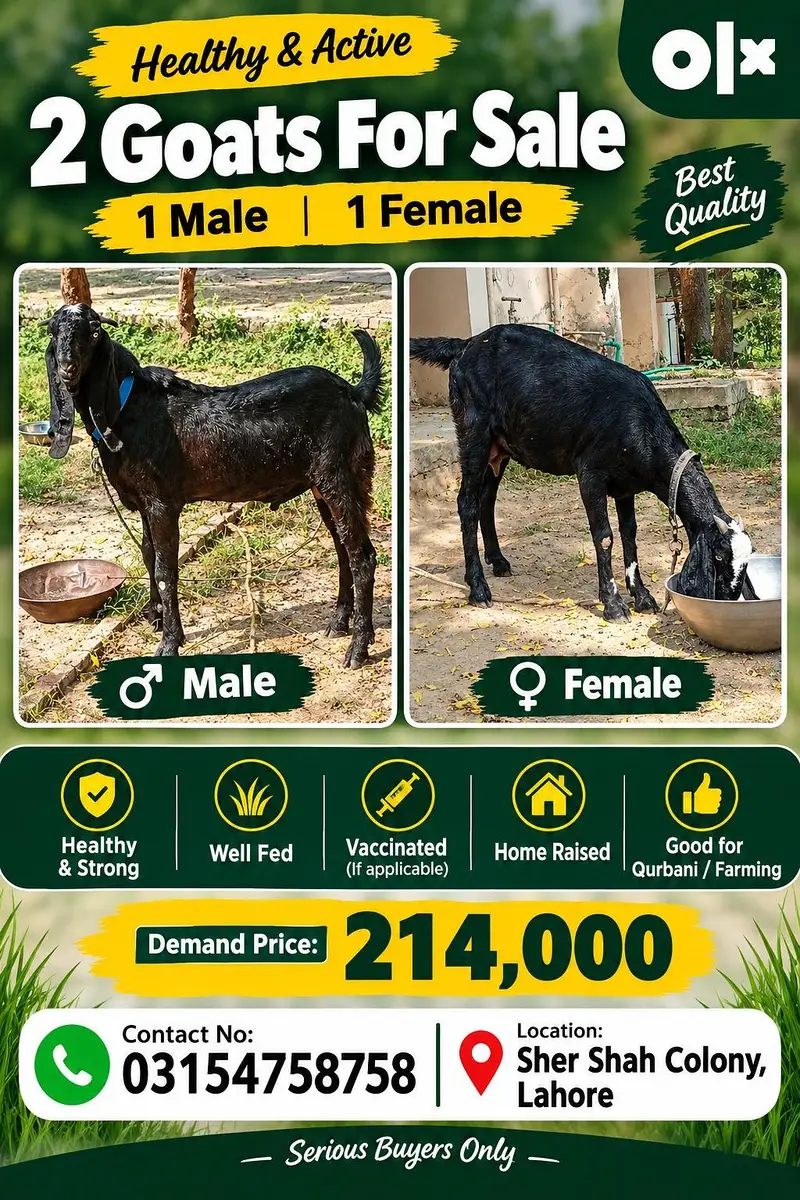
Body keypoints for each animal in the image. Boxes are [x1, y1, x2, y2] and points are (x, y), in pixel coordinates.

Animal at [44, 304, 383, 666]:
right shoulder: (144, 502)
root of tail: (353, 393)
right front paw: (157, 617)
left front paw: (169, 642)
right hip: (325, 486)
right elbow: (148, 554)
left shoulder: (162, 502)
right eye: (53, 330)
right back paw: (338, 622)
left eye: (95, 332)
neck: (128, 407)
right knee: (343, 548)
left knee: (362, 556)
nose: (67, 368)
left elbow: (165, 569)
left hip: (340, 476)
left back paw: (358, 648)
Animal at [410, 323, 755, 620]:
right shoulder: (590, 474)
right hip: (474, 432)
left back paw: (498, 561)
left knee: (487, 500)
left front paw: (642, 596)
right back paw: (478, 589)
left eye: (746, 561)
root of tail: (466, 345)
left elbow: (630, 534)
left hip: (501, 448)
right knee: (467, 503)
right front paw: (613, 605)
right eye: (719, 557)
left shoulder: (626, 485)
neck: (641, 423)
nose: (729, 598)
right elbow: (604, 537)